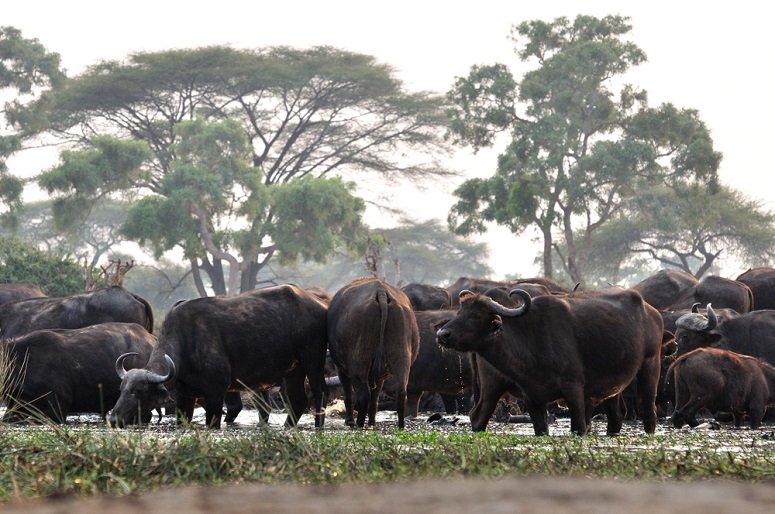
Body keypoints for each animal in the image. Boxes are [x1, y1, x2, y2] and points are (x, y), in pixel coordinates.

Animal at [107, 284, 329, 429]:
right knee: (298, 399)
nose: (113, 419)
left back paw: (318, 426)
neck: (187, 341)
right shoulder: (185, 396)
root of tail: (320, 304)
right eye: (122, 389)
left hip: (313, 359)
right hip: (294, 369)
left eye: (138, 390)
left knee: (319, 392)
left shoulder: (215, 393)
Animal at [327, 277, 419, 429]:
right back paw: (400, 425)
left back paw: (358, 423)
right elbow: (375, 395)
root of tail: (381, 292)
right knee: (401, 391)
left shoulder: (341, 369)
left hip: (359, 361)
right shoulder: (381, 376)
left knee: (363, 395)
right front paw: (372, 421)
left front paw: (350, 420)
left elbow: (349, 394)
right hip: (402, 352)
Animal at [436, 287, 663, 435]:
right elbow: (541, 429)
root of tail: (653, 313)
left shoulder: (574, 389)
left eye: (475, 315)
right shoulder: (532, 399)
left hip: (651, 363)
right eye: (459, 312)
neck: (531, 342)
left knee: (648, 411)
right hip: (491, 387)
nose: (442, 334)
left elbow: (579, 427)